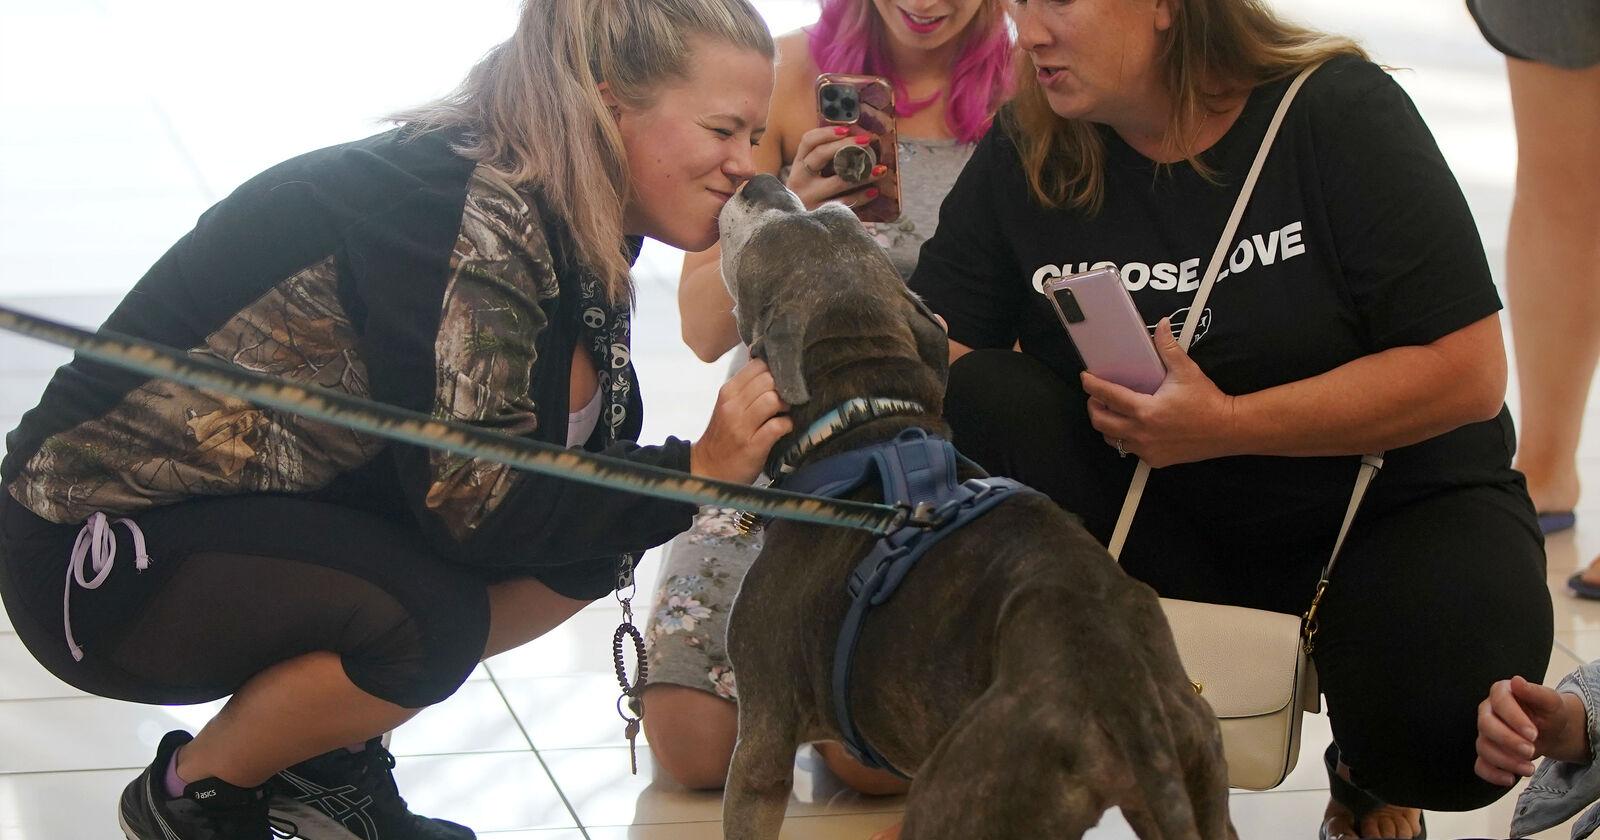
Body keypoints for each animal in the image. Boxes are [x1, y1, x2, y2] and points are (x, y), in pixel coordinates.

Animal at [716, 173, 1235, 832]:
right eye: (836, 216)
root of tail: (1122, 687)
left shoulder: (761, 745)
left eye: (767, 237)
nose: (759, 181)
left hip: (957, 794)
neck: (861, 416)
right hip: (1198, 771)